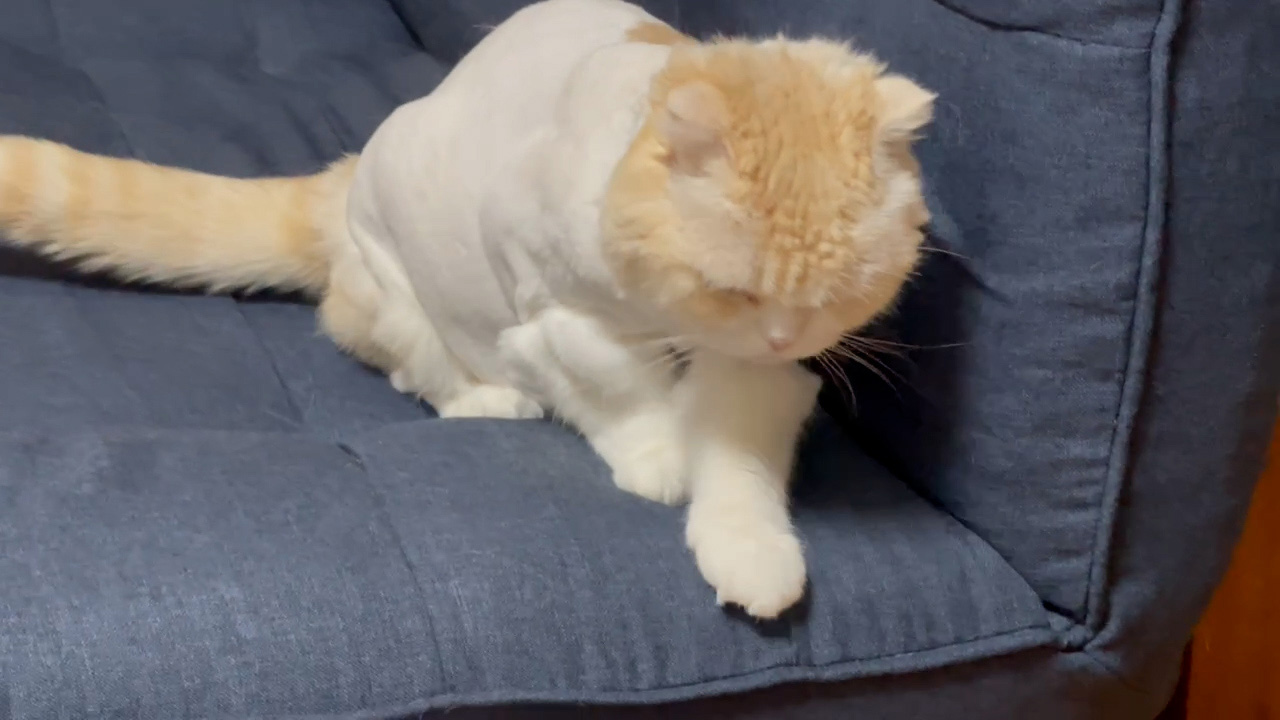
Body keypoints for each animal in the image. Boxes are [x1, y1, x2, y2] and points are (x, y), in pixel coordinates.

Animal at [0, 0, 933, 619]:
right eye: (736, 289)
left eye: (840, 295)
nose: (778, 335)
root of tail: (344, 171)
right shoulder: (551, 319)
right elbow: (615, 389)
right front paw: (658, 457)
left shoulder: (766, 378)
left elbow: (739, 458)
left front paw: (753, 556)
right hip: (398, 295)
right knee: (416, 374)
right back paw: (493, 402)